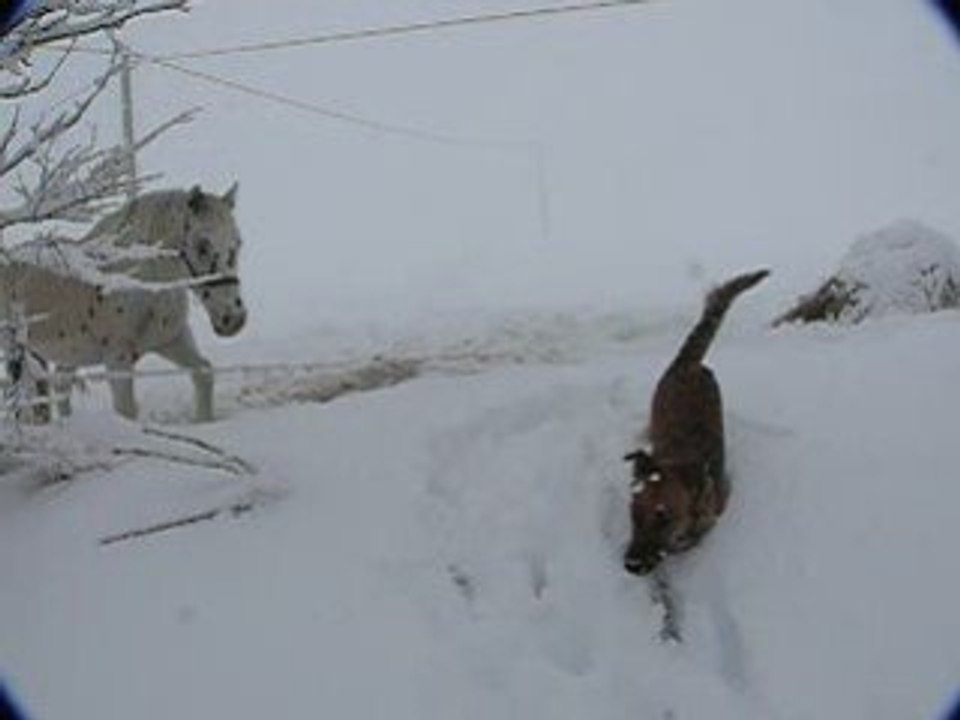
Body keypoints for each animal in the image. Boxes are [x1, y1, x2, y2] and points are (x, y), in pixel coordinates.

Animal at [0, 184, 247, 422]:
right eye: (202, 246)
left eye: (237, 243)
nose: (234, 319)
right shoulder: (117, 360)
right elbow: (126, 411)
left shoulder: (172, 340)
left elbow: (203, 373)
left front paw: (204, 420)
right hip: (16, 351)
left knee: (60, 386)